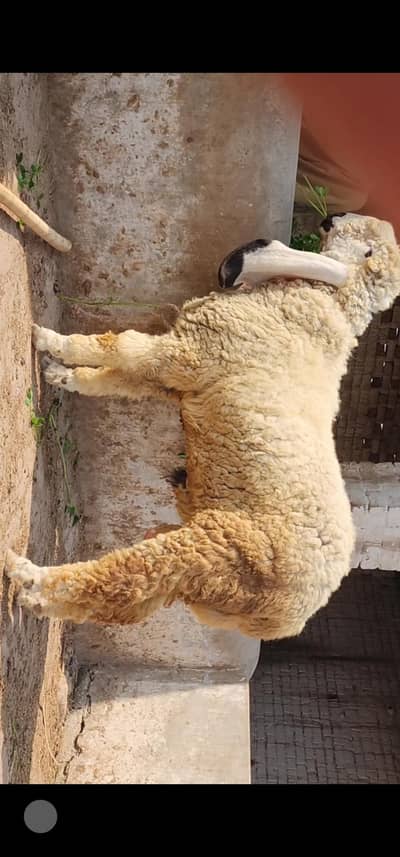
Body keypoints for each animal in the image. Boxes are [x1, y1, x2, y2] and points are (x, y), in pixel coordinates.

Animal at [5, 214, 400, 640]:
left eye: (365, 238)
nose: (331, 218)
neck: (325, 301)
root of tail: (286, 619)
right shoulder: (175, 377)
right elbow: (114, 379)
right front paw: (63, 375)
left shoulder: (186, 353)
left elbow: (116, 346)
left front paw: (49, 339)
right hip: (204, 581)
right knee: (124, 601)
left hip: (215, 550)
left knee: (116, 579)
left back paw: (29, 577)